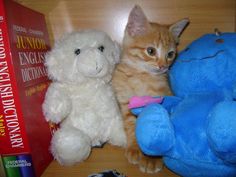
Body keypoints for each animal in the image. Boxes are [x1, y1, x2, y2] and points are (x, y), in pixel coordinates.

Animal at [112, 5, 188, 173]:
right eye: (151, 51)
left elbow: (155, 127)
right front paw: (135, 148)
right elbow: (131, 124)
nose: (163, 66)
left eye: (170, 54)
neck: (140, 77)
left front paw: (152, 157)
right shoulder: (126, 101)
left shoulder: (160, 100)